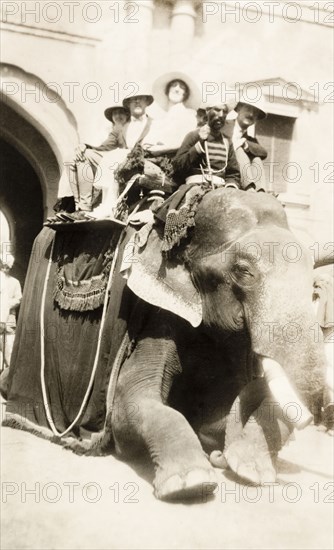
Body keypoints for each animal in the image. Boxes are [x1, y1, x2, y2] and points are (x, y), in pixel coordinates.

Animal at [2, 188, 326, 502]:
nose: (220, 457)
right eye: (243, 271)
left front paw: (250, 469)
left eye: (314, 287)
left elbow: (215, 418)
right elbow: (130, 401)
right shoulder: (158, 314)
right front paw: (191, 481)